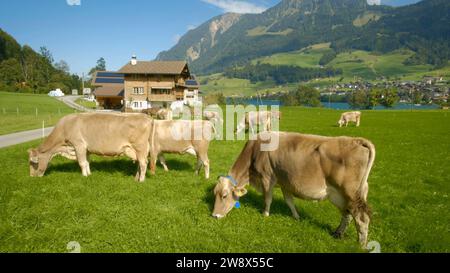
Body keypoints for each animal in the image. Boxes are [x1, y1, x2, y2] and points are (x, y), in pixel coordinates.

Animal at [213, 131, 374, 246]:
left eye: (224, 195)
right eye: (215, 194)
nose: (215, 215)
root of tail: (356, 140)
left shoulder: (267, 178)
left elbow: (268, 198)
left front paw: (265, 214)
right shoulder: (285, 182)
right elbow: (289, 201)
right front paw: (296, 217)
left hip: (351, 193)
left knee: (361, 218)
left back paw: (361, 244)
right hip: (342, 195)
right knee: (347, 214)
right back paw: (338, 234)